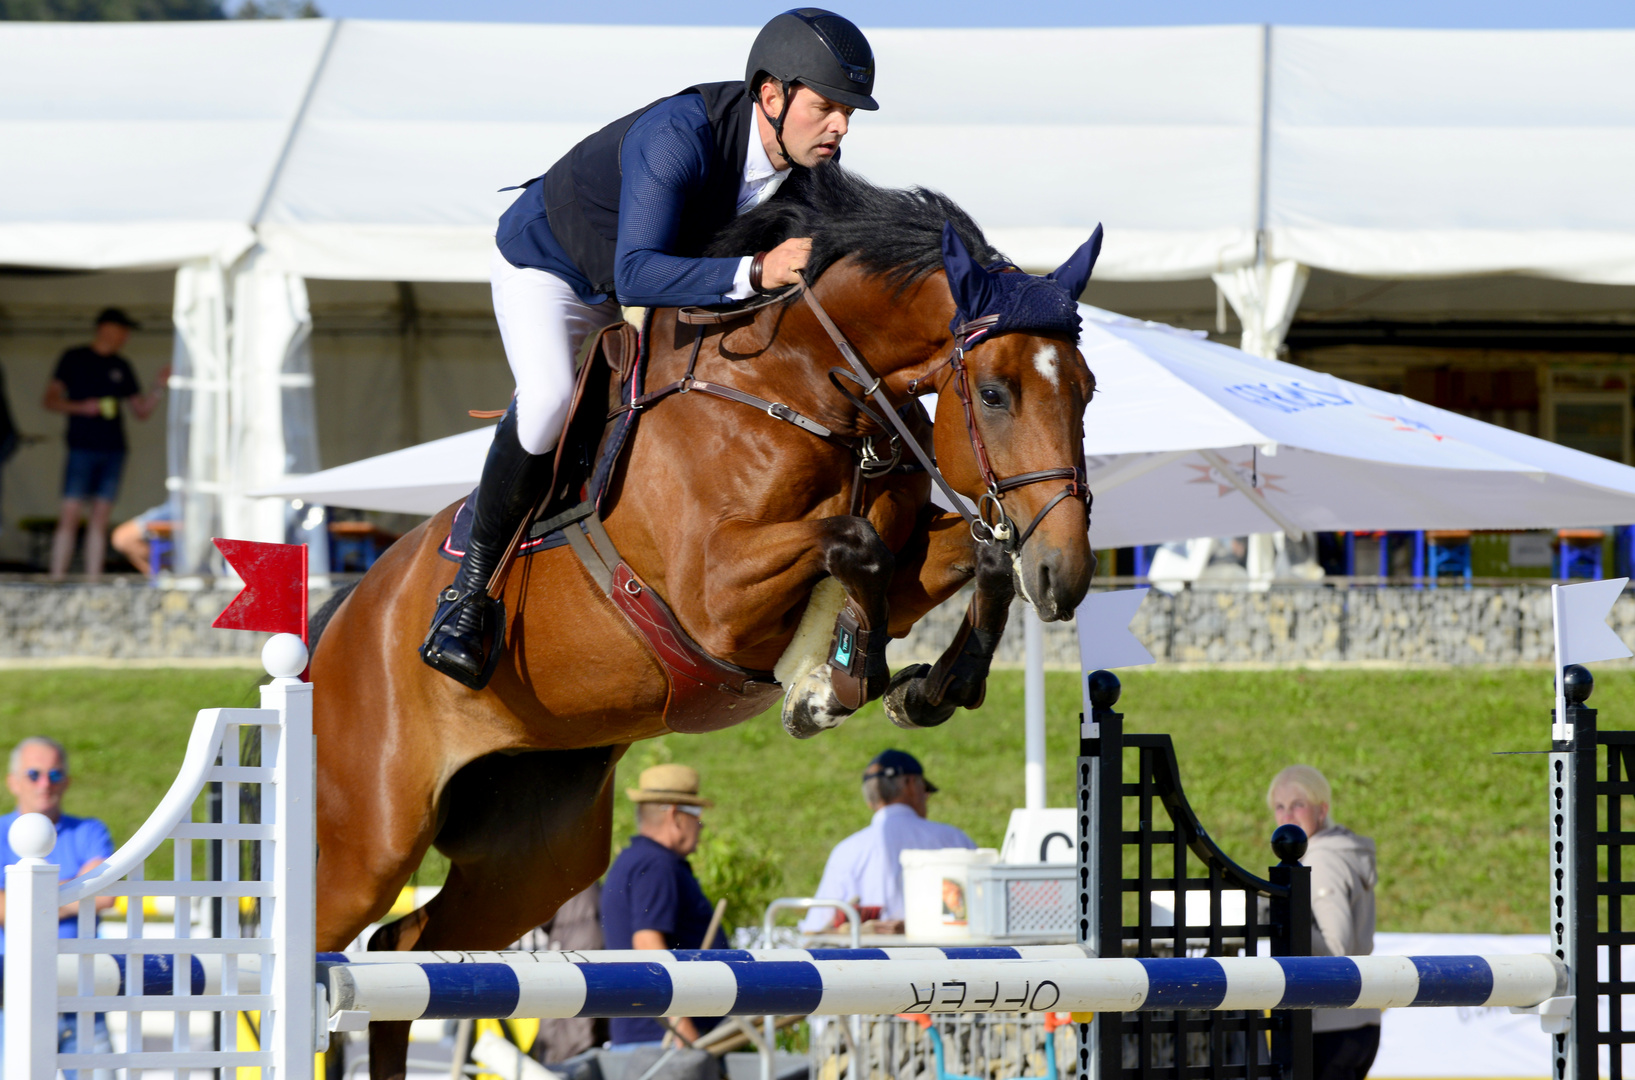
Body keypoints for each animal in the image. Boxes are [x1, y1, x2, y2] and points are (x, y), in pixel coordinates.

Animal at [307, 164, 1098, 1071]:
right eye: (996, 393)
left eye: (1086, 390)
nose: (1067, 576)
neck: (804, 385)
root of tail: (342, 618)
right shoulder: (714, 595)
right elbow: (854, 544)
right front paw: (831, 687)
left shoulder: (901, 561)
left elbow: (972, 554)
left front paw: (927, 687)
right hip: (369, 842)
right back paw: (456, 632)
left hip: (531, 857)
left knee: (404, 949)